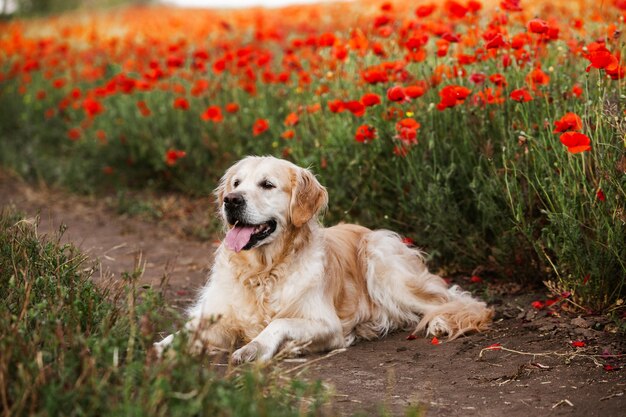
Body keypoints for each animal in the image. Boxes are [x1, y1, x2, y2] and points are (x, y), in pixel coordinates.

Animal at [154, 156, 490, 360]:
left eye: (267, 184)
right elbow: (186, 332)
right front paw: (160, 347)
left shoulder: (326, 323)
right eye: (236, 183)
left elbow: (279, 323)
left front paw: (256, 347)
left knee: (463, 302)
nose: (230, 201)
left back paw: (441, 322)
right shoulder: (220, 316)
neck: (263, 273)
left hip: (383, 266)